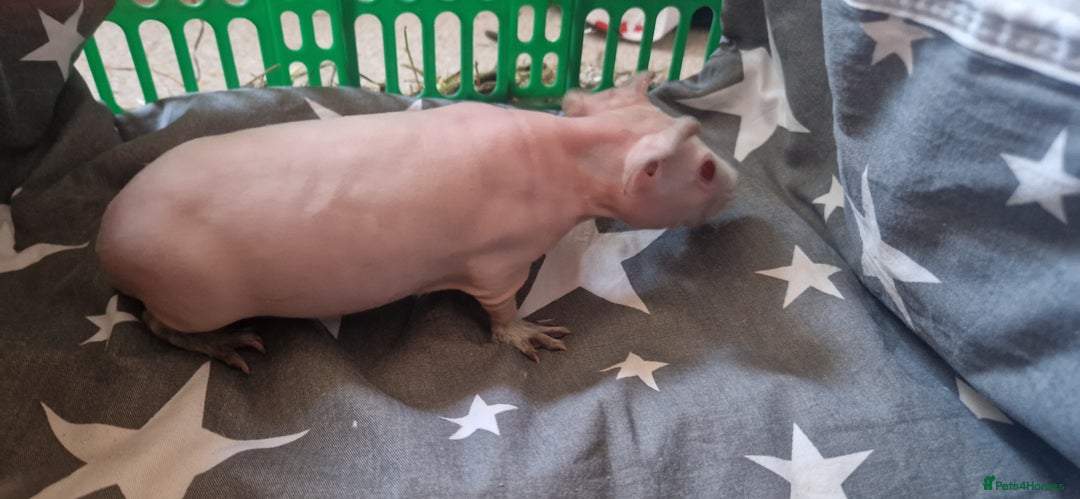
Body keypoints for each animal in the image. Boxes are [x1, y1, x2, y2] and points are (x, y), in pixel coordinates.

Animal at [96, 74, 737, 373]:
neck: (566, 148)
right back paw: (218, 342)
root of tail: (105, 241)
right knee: (156, 323)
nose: (736, 183)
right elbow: (500, 309)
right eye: (706, 168)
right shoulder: (498, 260)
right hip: (192, 293)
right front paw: (523, 331)